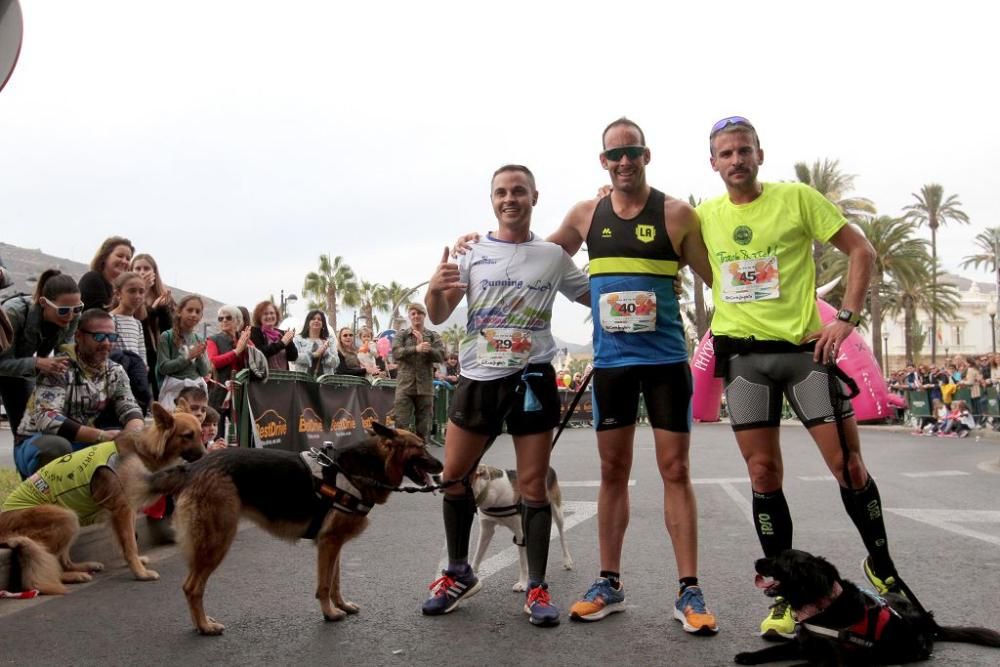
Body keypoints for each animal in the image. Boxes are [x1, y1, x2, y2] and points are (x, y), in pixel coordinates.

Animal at [0, 402, 205, 596]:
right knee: (51, 563)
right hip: (66, 518)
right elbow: (130, 543)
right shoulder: (122, 509)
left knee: (62, 560)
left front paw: (136, 563)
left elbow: (129, 541)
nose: (205, 456)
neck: (142, 449)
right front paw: (140, 572)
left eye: (201, 434)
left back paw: (83, 567)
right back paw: (71, 576)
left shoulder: (126, 510)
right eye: (188, 435)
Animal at [136, 422, 442, 636]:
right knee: (192, 587)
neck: (363, 467)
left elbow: (336, 581)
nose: (441, 467)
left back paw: (203, 622)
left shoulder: (334, 544)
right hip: (217, 542)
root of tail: (194, 467)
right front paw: (330, 613)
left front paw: (340, 605)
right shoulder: (329, 544)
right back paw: (204, 627)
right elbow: (324, 584)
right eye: (420, 446)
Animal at [736, 552, 1000, 664]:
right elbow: (771, 651)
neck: (822, 605)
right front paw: (748, 656)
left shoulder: (831, 659)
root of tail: (931, 623)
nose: (755, 560)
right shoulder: (803, 644)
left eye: (779, 560)